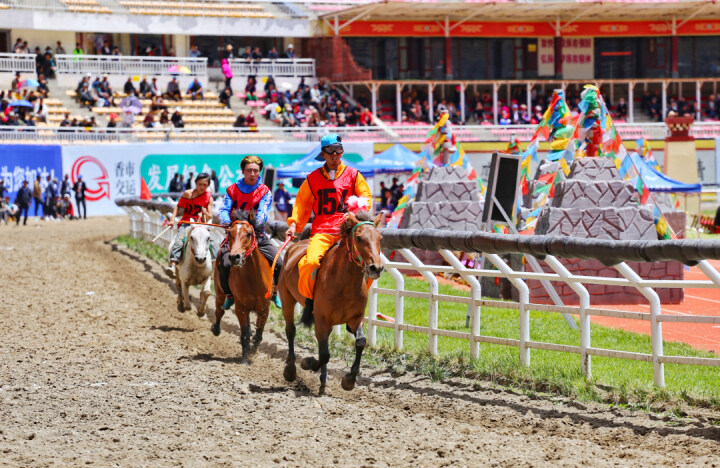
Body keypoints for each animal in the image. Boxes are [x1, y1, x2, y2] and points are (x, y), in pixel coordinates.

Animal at [211, 210, 272, 365]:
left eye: (249, 233)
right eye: (230, 232)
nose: (235, 257)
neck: (253, 281)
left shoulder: (264, 308)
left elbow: (258, 333)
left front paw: (252, 353)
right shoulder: (241, 308)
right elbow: (244, 333)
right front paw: (245, 359)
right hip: (219, 292)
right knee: (219, 311)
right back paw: (216, 329)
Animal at [277, 210, 384, 392]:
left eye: (380, 238)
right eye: (359, 238)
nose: (376, 268)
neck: (344, 283)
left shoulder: (355, 318)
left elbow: (360, 342)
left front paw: (349, 379)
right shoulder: (321, 319)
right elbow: (324, 354)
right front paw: (307, 362)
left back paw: (323, 378)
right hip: (287, 299)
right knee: (291, 330)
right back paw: (290, 370)